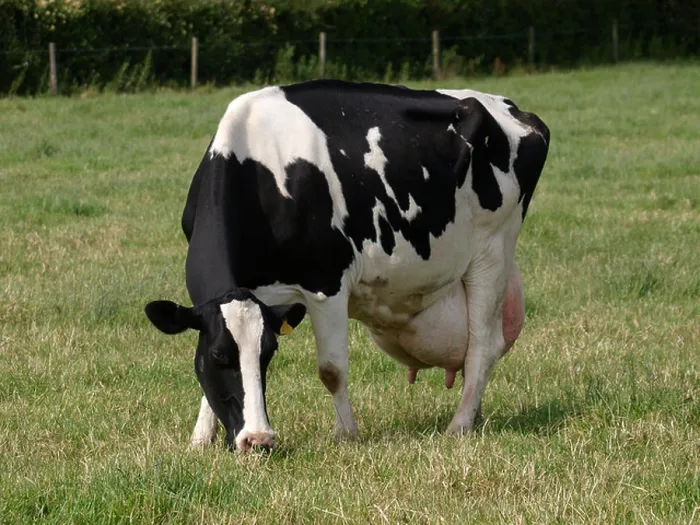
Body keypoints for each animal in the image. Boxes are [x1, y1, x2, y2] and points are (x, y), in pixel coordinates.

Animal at [144, 80, 549, 451]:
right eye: (219, 355)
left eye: (270, 353)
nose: (257, 440)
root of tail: (509, 107)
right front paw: (200, 439)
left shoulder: (327, 283)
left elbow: (332, 369)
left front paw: (346, 434)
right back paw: (475, 415)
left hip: (492, 251)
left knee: (481, 346)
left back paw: (460, 424)